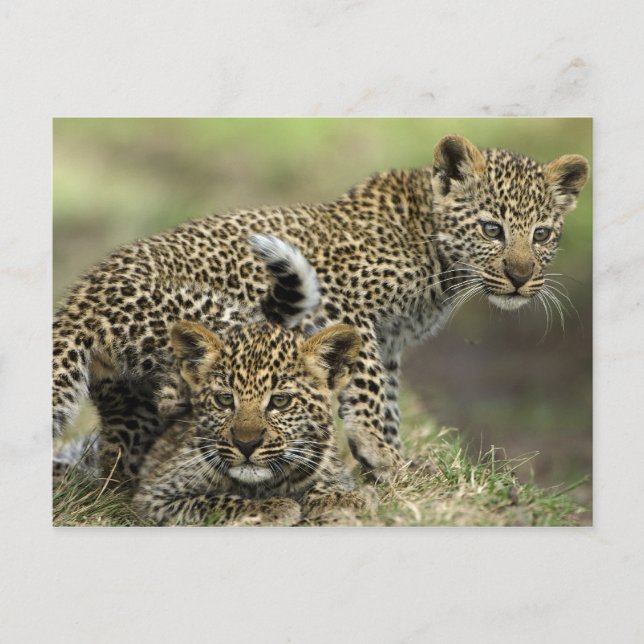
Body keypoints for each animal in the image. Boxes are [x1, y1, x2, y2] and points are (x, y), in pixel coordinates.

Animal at [53, 133, 590, 482]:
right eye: (491, 229)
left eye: (542, 234)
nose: (520, 277)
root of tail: (78, 301)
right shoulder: (352, 313)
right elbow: (370, 395)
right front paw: (381, 454)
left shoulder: (390, 342)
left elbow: (390, 401)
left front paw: (392, 461)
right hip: (230, 324)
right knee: (196, 397)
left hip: (125, 399)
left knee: (122, 457)